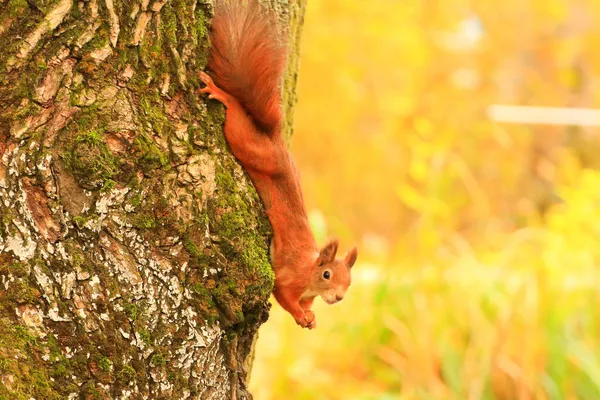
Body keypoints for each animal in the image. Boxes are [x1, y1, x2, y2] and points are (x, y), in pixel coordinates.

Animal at [198, 0, 356, 328]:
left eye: (349, 281)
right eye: (327, 274)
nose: (338, 298)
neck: (309, 277)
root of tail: (274, 141)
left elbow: (307, 305)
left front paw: (311, 316)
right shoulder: (288, 280)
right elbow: (283, 294)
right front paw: (299, 315)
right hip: (250, 146)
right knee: (237, 116)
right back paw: (222, 94)